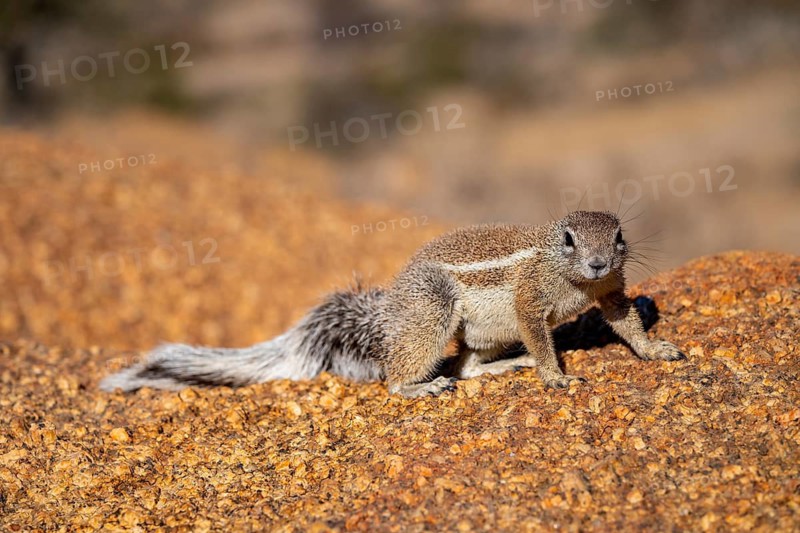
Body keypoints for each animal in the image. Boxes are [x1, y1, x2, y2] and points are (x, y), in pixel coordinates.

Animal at [101, 210, 686, 398]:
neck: (576, 284)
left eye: (618, 237)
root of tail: (388, 314)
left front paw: (656, 351)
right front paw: (555, 376)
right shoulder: (528, 300)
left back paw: (504, 365)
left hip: (480, 332)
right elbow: (539, 333)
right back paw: (420, 386)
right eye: (569, 238)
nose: (597, 263)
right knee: (402, 375)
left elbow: (624, 322)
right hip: (434, 311)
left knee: (466, 365)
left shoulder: (610, 293)